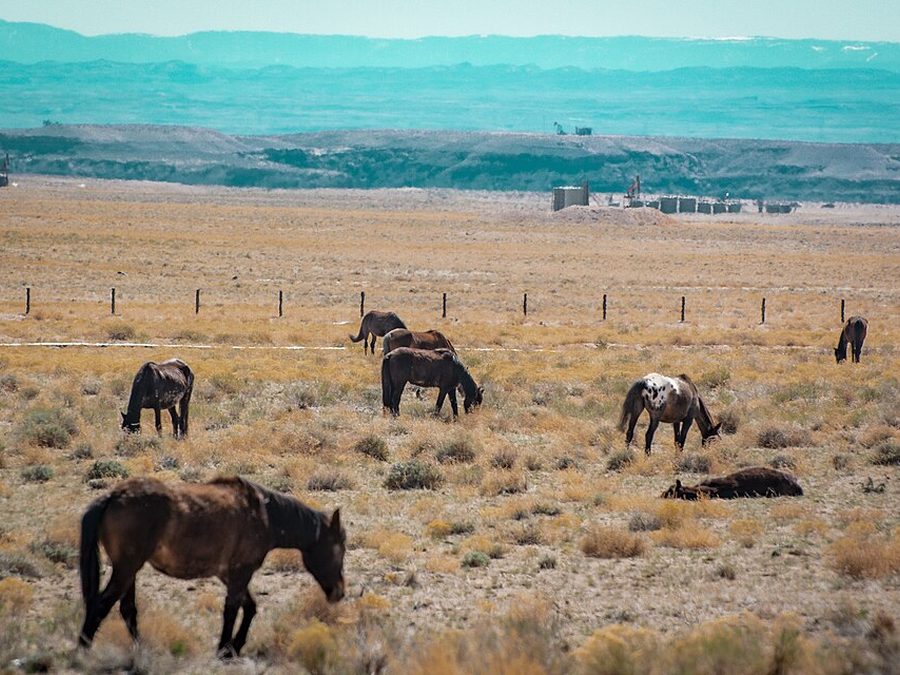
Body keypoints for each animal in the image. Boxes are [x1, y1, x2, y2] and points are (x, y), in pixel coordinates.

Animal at [78, 476, 345, 658]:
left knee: (127, 609)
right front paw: (224, 649)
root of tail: (112, 496)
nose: (339, 592)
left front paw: (233, 648)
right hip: (125, 569)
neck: (264, 513)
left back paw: (141, 650)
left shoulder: (229, 574)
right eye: (338, 549)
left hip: (129, 570)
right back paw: (83, 653)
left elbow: (249, 607)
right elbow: (232, 610)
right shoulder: (241, 571)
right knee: (101, 606)